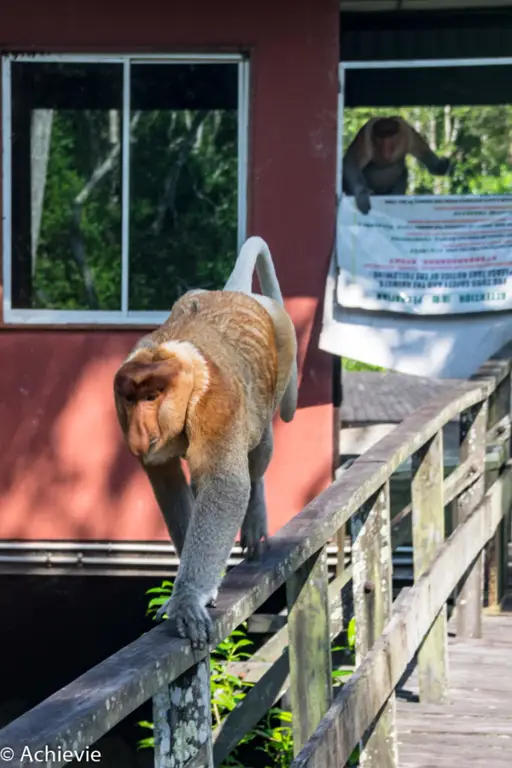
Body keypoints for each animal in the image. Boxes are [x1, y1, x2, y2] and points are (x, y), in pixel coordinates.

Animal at [112, 234, 296, 648]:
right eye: (130, 399)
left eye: (152, 397)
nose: (138, 432)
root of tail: (237, 295)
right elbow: (167, 483)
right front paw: (189, 595)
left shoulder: (216, 404)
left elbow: (224, 485)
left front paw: (188, 599)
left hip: (280, 361)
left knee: (258, 453)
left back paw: (255, 520)